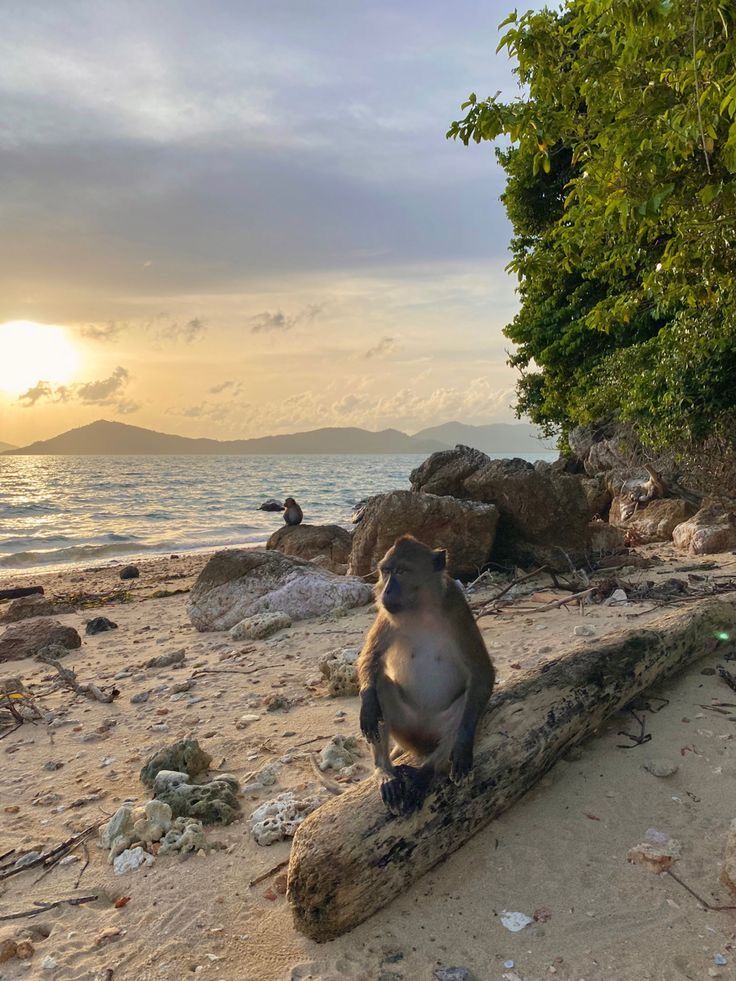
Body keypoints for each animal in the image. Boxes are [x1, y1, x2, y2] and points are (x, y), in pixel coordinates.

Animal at [356, 532, 494, 816]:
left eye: (401, 571)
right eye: (385, 571)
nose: (386, 590)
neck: (420, 608)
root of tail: (420, 743)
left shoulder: (457, 608)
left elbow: (482, 672)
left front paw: (461, 747)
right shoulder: (386, 613)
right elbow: (370, 659)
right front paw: (368, 704)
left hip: (435, 730)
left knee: (464, 706)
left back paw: (426, 772)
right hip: (406, 729)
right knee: (381, 688)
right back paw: (385, 772)